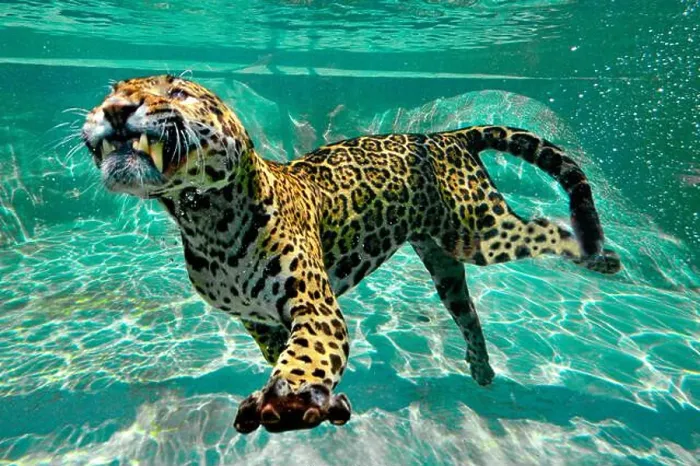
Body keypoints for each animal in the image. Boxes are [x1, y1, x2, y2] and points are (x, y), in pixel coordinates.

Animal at [81, 75, 621, 434]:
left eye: (177, 93)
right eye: (112, 91)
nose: (115, 109)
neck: (206, 222)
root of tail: (448, 135)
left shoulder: (314, 305)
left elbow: (305, 353)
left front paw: (292, 396)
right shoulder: (256, 320)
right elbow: (281, 350)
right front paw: (312, 397)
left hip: (480, 231)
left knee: (543, 227)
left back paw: (602, 257)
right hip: (442, 258)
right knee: (466, 309)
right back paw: (481, 369)